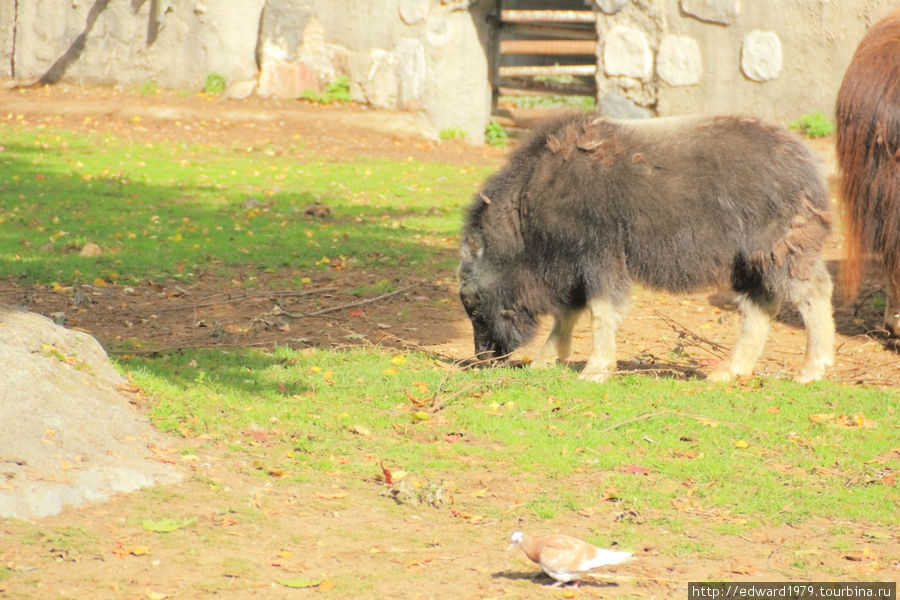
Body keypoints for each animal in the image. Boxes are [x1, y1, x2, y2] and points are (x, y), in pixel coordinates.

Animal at [458, 112, 836, 382]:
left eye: (472, 303)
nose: (482, 358)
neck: (527, 208)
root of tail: (808, 163)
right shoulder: (575, 265)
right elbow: (568, 314)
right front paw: (545, 362)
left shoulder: (598, 255)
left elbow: (599, 310)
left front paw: (594, 370)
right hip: (749, 264)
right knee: (760, 306)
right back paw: (726, 372)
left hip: (780, 249)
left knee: (813, 294)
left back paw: (811, 371)